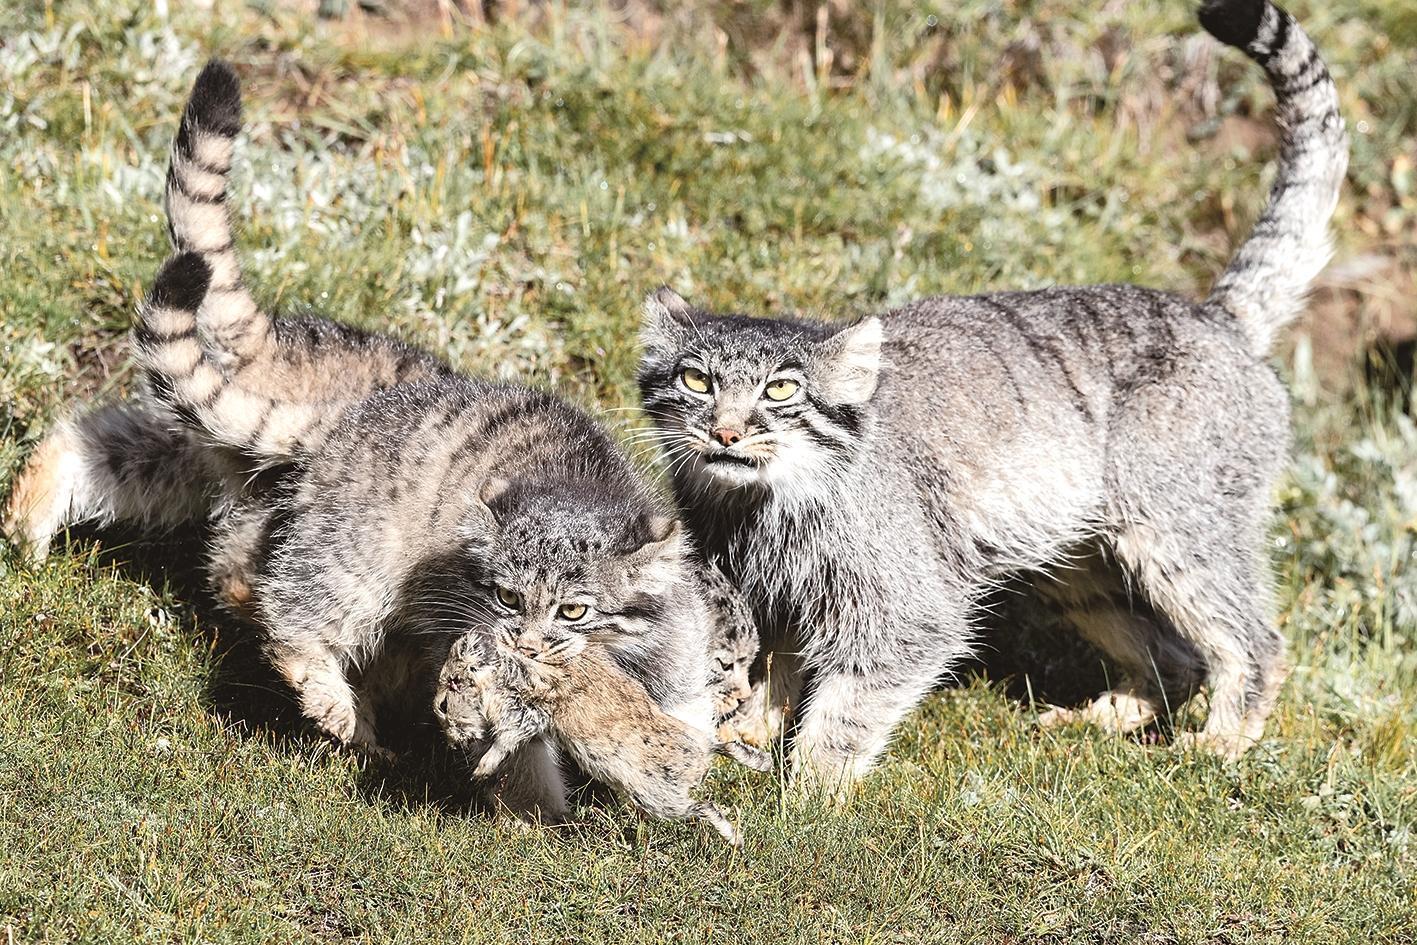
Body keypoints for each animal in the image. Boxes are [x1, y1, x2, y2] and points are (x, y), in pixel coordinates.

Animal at [637, 0, 1343, 782]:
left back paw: (1219, 744)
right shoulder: (772, 595)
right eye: (695, 379)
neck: (760, 511)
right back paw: (1105, 718)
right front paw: (755, 734)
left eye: (783, 389)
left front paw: (812, 789)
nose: (726, 431)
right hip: (1079, 559)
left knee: (1252, 637)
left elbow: (850, 703)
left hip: (1177, 525)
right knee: (1173, 652)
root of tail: (1216, 314)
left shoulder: (906, 605)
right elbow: (775, 667)